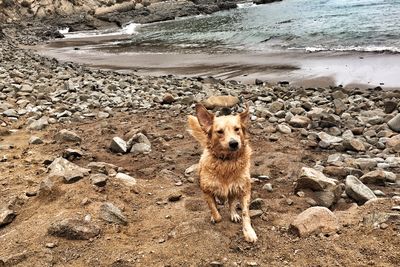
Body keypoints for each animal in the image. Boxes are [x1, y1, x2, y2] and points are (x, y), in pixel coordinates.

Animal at [187, 102, 258, 243]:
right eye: (219, 132)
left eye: (237, 129)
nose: (234, 143)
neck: (227, 163)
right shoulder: (206, 191)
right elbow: (214, 210)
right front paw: (215, 216)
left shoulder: (244, 190)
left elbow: (245, 213)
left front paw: (249, 232)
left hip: (234, 190)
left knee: (231, 203)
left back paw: (233, 214)